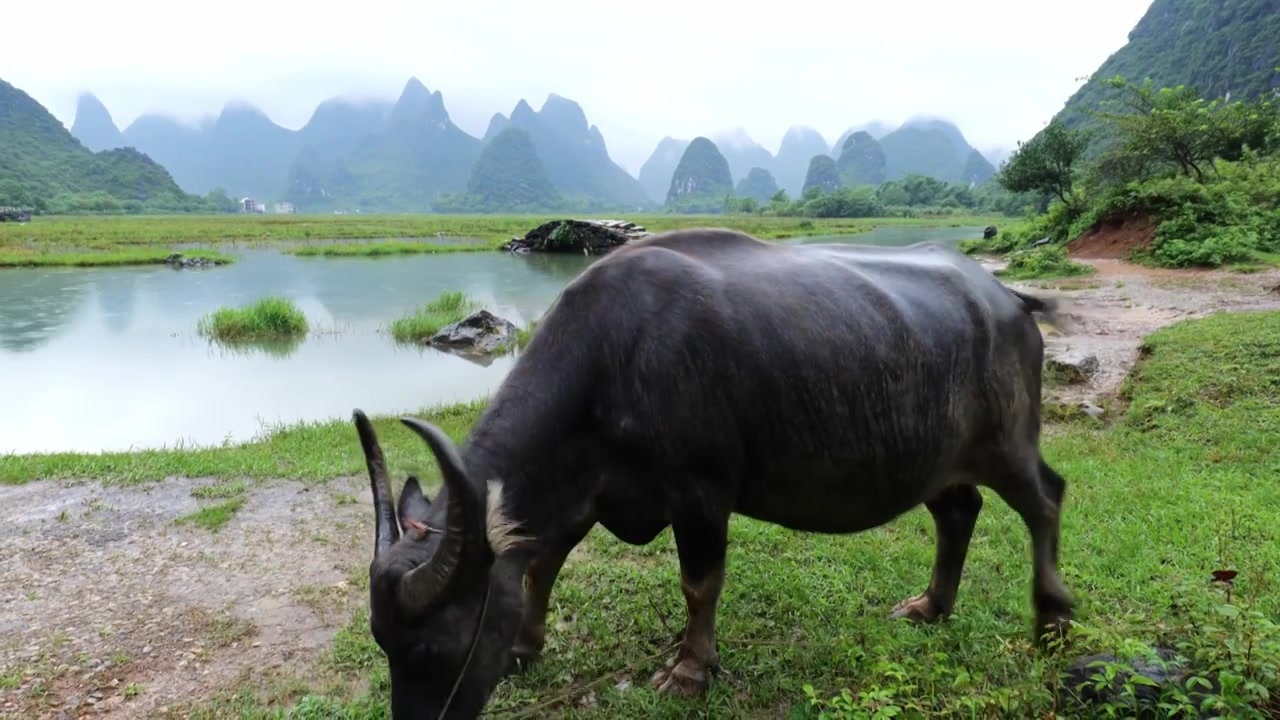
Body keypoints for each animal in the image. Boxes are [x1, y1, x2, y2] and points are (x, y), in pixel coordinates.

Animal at [348, 226, 1070, 712]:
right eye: (385, 645)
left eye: (433, 647)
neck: (613, 356)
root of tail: (1006, 298)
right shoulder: (584, 489)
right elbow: (541, 564)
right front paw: (527, 645)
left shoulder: (699, 494)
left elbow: (699, 584)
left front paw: (690, 670)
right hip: (937, 463)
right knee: (960, 511)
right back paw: (932, 605)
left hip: (1009, 446)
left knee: (1045, 500)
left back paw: (1053, 622)